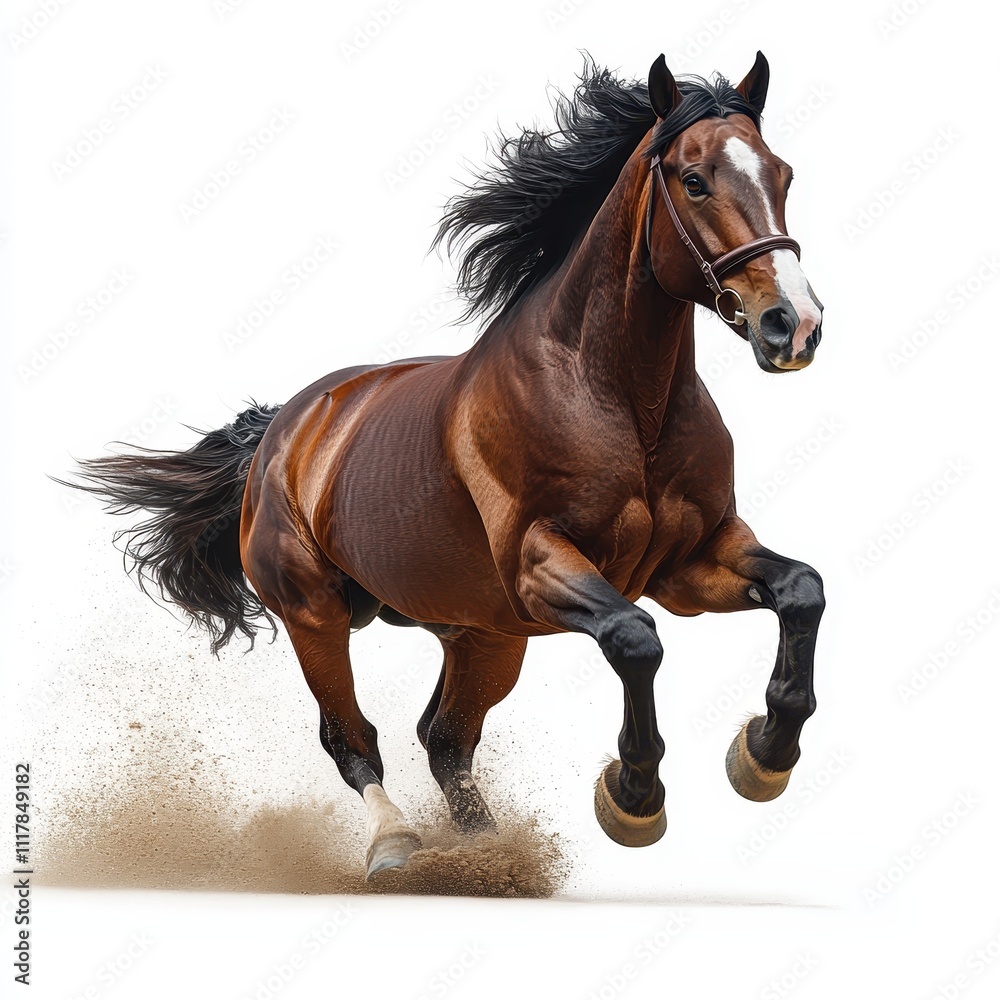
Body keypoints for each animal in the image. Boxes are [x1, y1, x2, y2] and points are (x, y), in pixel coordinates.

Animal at [66, 52, 825, 879]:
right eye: (694, 180)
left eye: (783, 173)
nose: (793, 325)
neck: (621, 402)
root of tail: (283, 430)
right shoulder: (542, 563)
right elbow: (635, 639)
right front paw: (633, 798)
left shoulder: (691, 561)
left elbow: (801, 590)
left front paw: (764, 756)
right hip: (316, 614)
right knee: (353, 739)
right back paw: (397, 847)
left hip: (482, 634)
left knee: (446, 740)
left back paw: (485, 854)